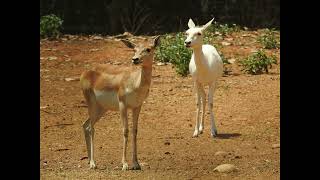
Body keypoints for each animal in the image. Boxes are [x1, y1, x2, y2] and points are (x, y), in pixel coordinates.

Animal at [80, 36, 160, 170]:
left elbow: (134, 131)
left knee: (85, 125)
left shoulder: (137, 106)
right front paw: (124, 164)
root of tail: (85, 73)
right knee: (91, 128)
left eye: (148, 49)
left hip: (102, 108)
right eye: (134, 49)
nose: (135, 59)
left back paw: (89, 160)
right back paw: (93, 163)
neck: (135, 83)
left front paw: (136, 164)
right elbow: (125, 130)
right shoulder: (123, 105)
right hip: (92, 104)